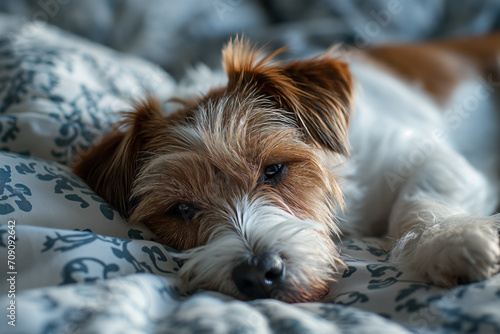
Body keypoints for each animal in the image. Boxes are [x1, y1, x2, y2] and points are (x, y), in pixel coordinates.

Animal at [72, 34, 500, 302]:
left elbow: (420, 198)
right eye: (181, 208)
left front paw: (449, 241)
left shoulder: (423, 155)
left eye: (274, 169)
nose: (257, 273)